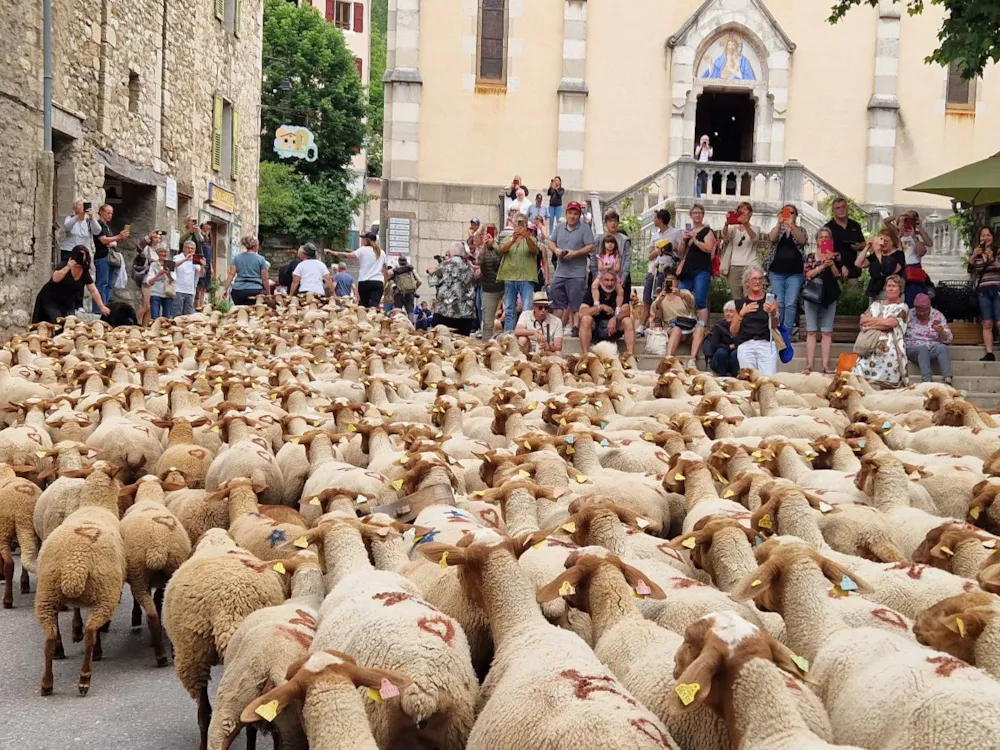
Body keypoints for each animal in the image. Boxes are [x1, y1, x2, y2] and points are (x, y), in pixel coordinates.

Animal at [34, 464, 127, 700]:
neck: (95, 505)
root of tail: (74, 566)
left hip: (46, 594)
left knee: (49, 638)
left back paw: (47, 683)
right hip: (105, 594)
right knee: (91, 633)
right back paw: (85, 678)